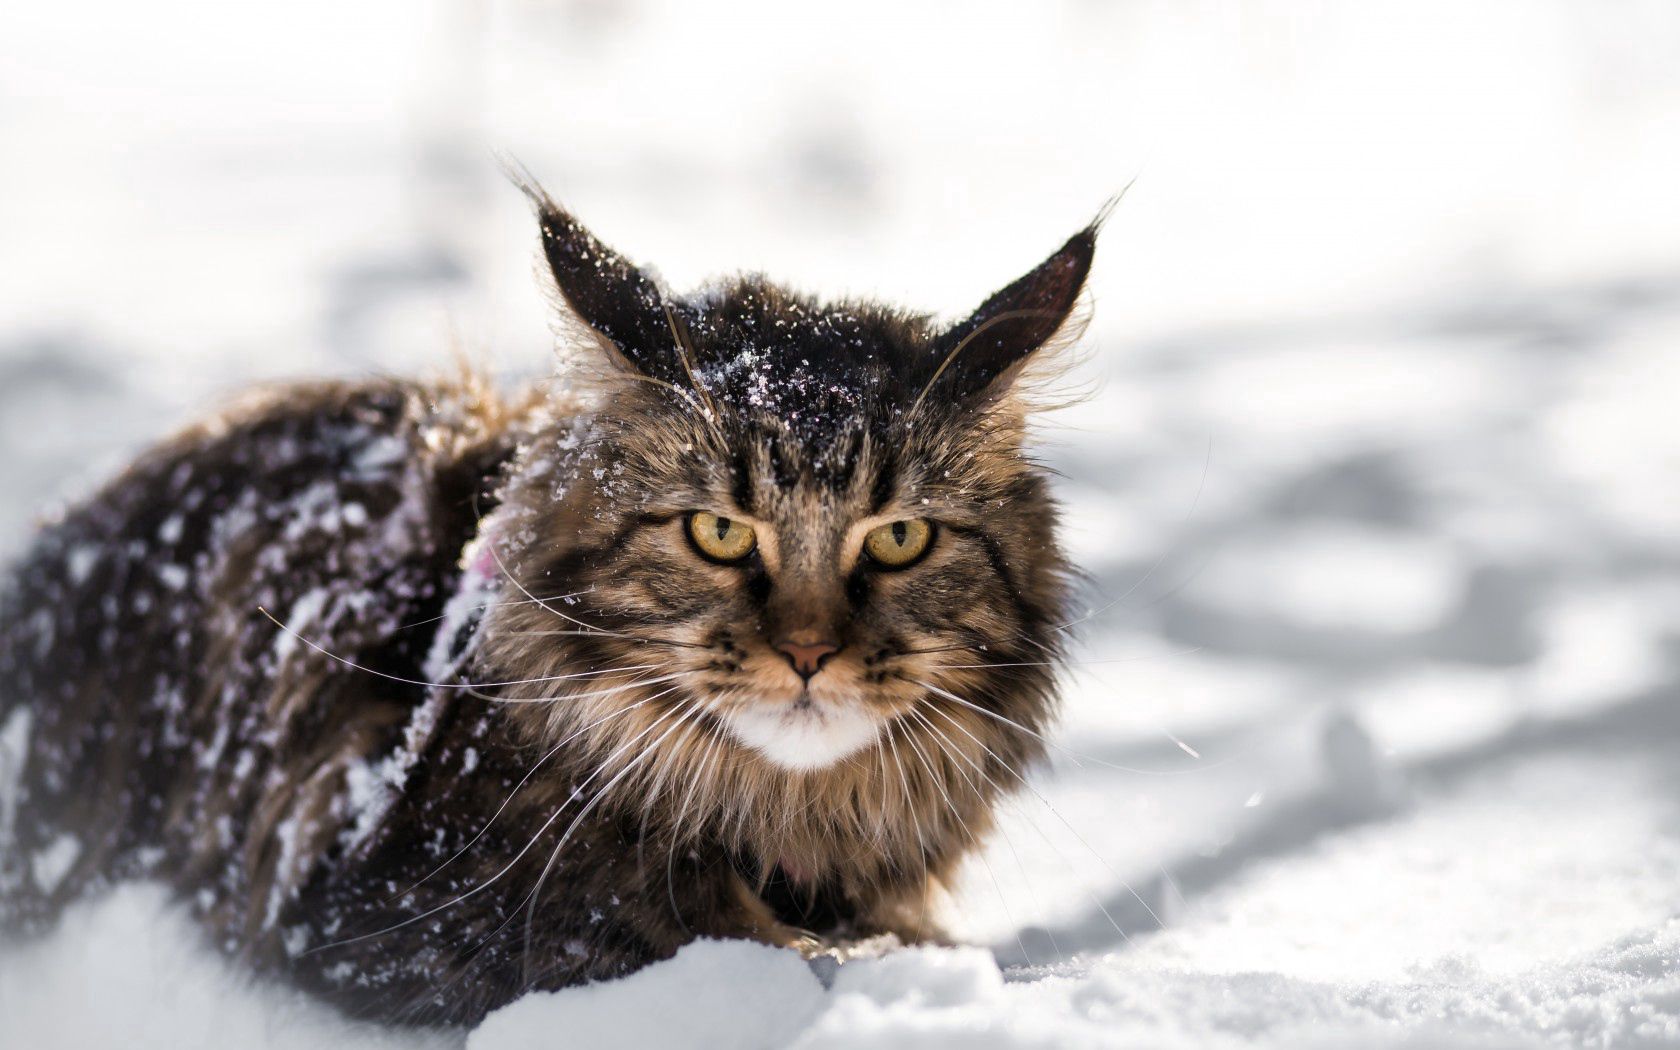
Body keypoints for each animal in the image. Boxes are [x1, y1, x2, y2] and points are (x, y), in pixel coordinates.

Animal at [0, 182, 1095, 1021]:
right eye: (719, 532)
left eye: (900, 539)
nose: (808, 652)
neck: (781, 823)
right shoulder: (390, 907)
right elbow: (728, 943)